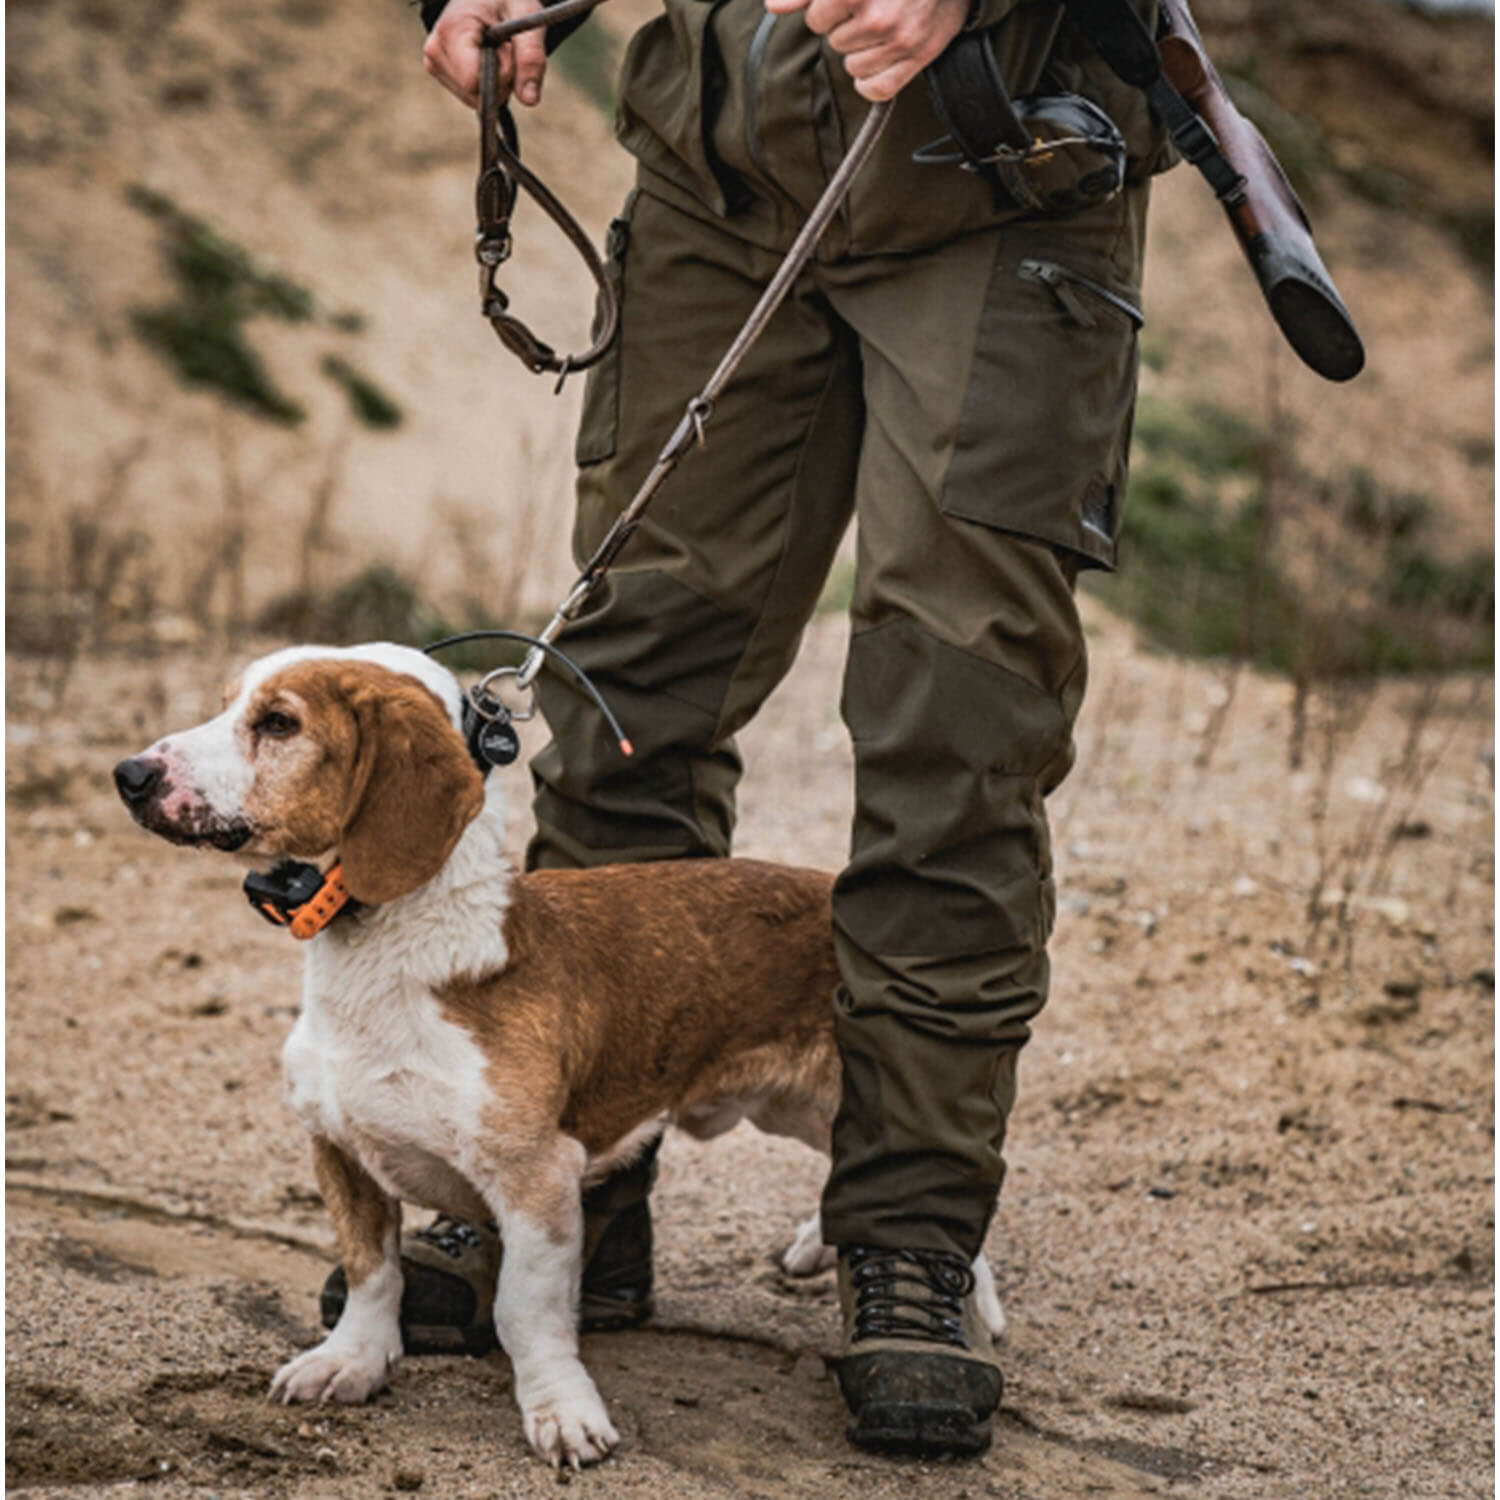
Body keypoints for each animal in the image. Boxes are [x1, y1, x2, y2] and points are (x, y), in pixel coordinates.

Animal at [114, 642, 1008, 1464]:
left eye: (278, 723)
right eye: (225, 705)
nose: (128, 774)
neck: (391, 953)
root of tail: (832, 896)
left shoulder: (536, 1182)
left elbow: (526, 1314)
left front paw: (560, 1410)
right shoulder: (341, 1150)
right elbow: (372, 1273)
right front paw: (353, 1362)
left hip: (843, 1095)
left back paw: (962, 1311)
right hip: (794, 1105)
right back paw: (822, 1241)